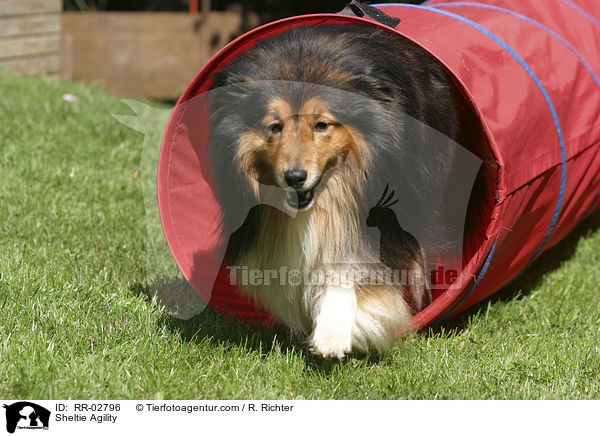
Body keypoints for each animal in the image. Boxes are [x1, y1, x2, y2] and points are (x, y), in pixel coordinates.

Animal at [209, 22, 472, 358]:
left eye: (322, 125)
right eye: (274, 126)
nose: (295, 177)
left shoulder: (378, 226)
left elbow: (349, 270)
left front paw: (331, 334)